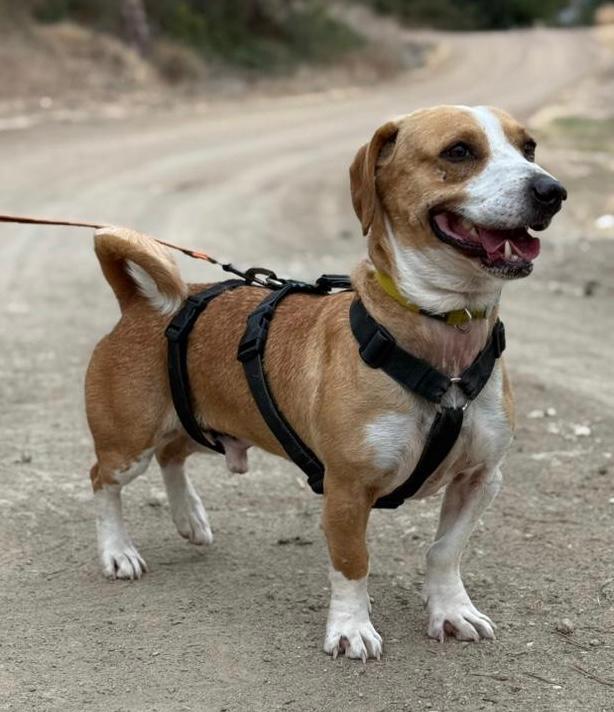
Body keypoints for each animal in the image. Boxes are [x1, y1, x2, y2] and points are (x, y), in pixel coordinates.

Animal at [85, 105, 566, 661]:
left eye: (529, 148)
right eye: (459, 151)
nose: (552, 190)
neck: (442, 340)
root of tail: (140, 304)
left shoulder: (481, 478)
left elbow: (445, 551)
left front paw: (450, 611)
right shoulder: (347, 489)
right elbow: (353, 563)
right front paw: (351, 628)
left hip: (195, 426)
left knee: (173, 456)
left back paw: (190, 518)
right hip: (129, 444)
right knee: (103, 480)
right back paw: (118, 551)